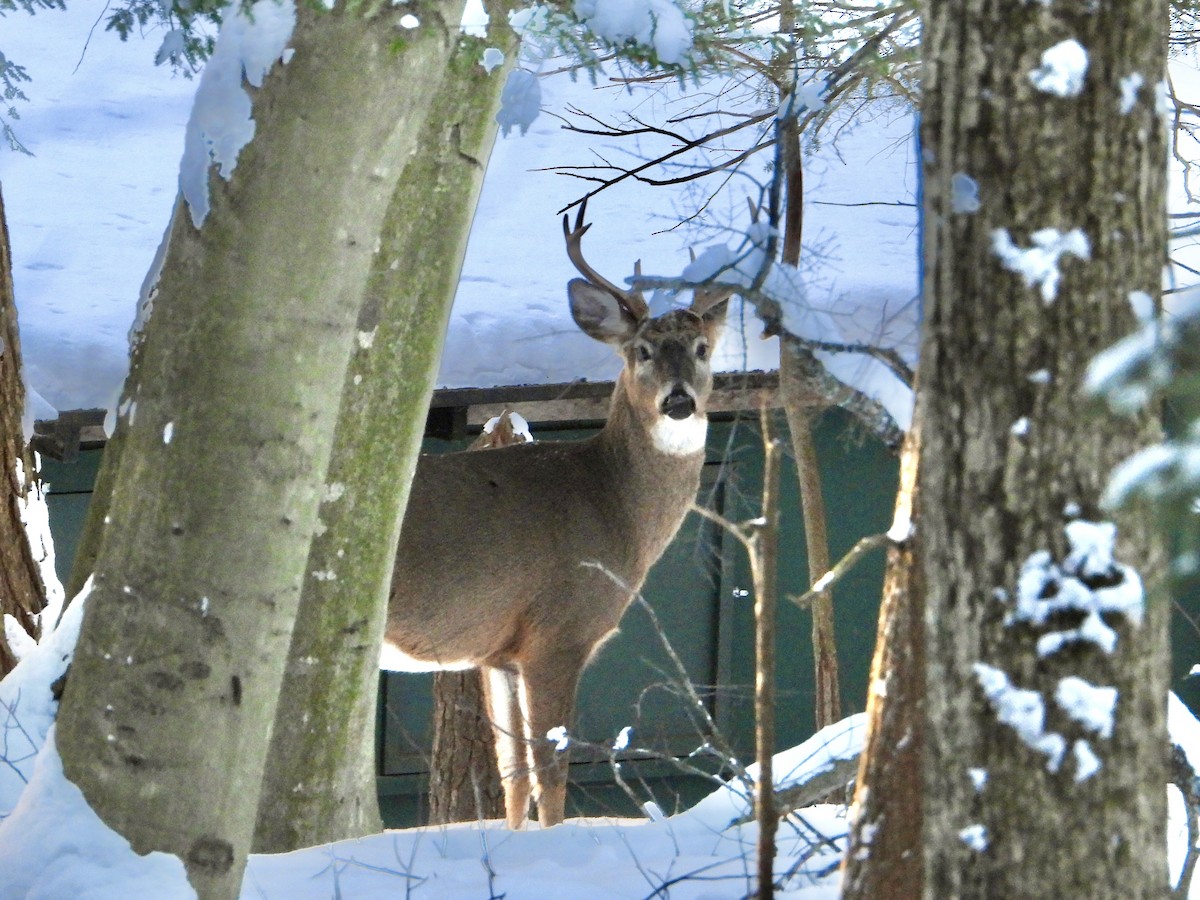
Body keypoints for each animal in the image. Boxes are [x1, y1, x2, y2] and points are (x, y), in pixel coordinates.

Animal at [382, 203, 733, 829]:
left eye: (701, 348)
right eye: (641, 352)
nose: (678, 401)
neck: (612, 506)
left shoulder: (498, 652)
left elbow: (513, 774)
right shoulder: (559, 632)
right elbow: (552, 775)